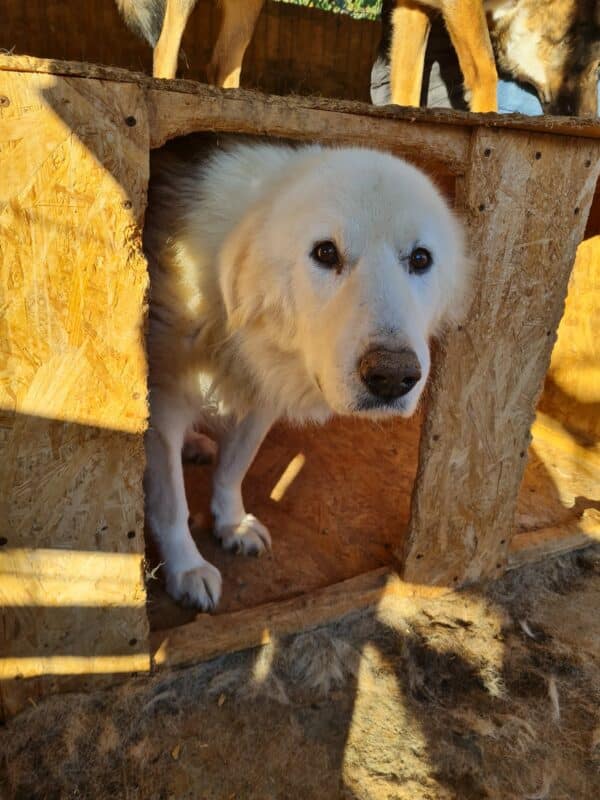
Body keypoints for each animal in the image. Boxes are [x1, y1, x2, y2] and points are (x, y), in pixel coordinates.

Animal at [143, 138, 472, 608]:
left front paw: (233, 524)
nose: (393, 376)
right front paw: (187, 568)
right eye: (325, 252)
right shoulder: (163, 401)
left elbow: (233, 468)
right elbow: (172, 502)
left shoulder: (261, 401)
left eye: (420, 259)